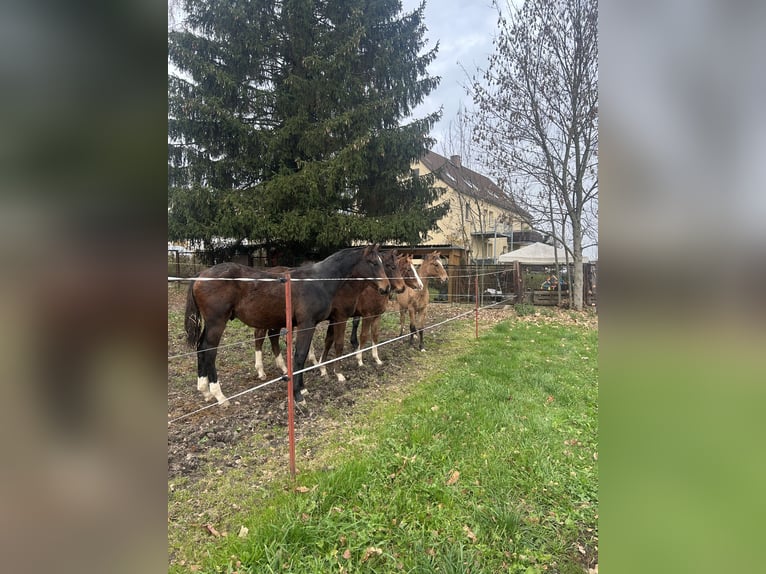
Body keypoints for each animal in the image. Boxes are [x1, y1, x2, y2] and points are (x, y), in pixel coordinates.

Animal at [184, 245, 390, 406]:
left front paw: (303, 388)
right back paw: (219, 395)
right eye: (373, 262)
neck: (318, 281)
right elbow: (300, 356)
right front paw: (298, 395)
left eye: (382, 262)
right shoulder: (307, 324)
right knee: (209, 350)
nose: (386, 288)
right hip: (217, 323)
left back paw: (205, 391)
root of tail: (201, 275)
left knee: (201, 348)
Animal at [316, 250, 422, 380]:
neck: (373, 289)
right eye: (408, 269)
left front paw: (377, 359)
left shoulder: (377, 316)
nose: (420, 285)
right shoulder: (367, 316)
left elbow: (375, 335)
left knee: (328, 340)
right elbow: (364, 336)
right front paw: (359, 360)